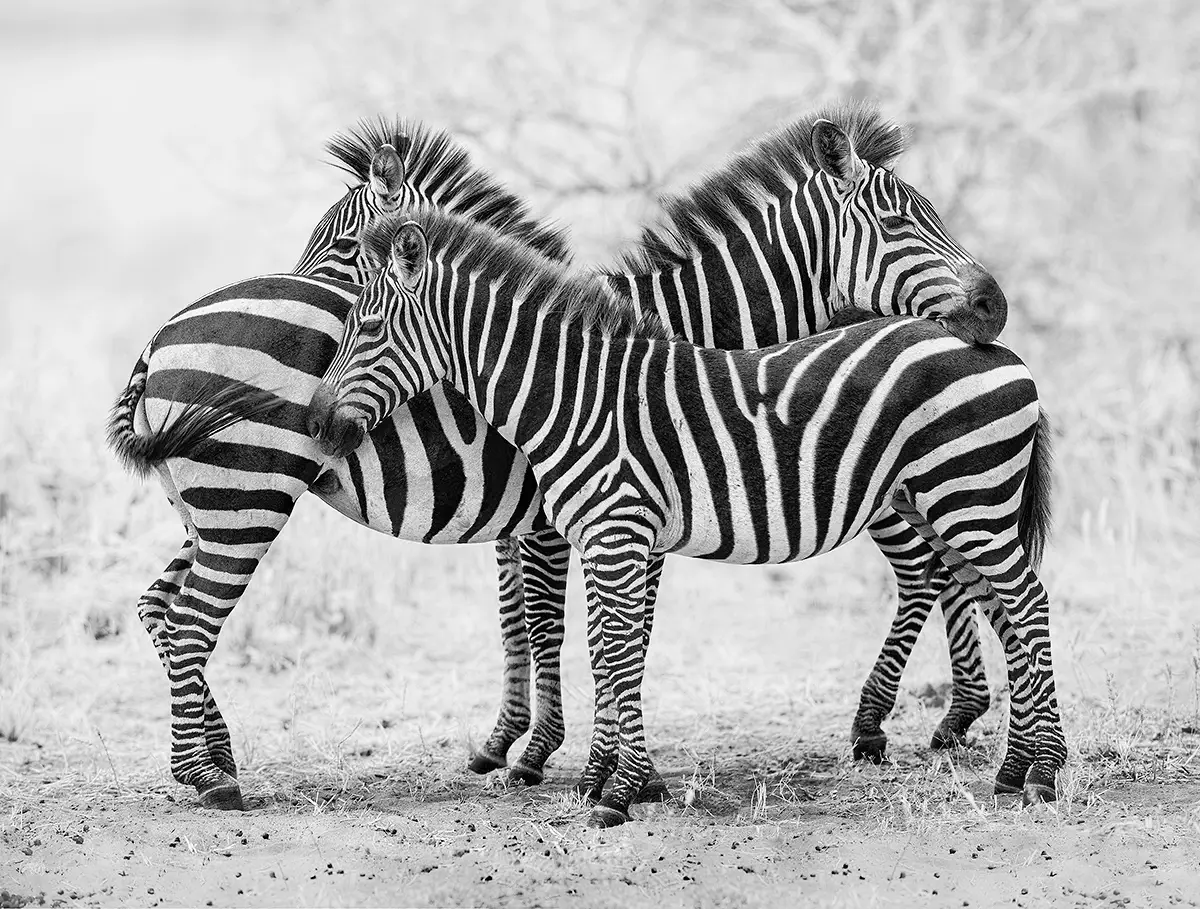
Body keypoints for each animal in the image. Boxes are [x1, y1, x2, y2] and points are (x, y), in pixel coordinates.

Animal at [304, 207, 1065, 829]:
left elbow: (616, 651)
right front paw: (601, 779)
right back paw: (1011, 767)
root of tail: (1005, 352)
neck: (574, 395)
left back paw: (1044, 772)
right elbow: (606, 651)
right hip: (948, 501)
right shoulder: (601, 535)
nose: (315, 425)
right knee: (997, 601)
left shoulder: (618, 531)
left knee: (1027, 600)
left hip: (968, 496)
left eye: (366, 327)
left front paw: (618, 791)